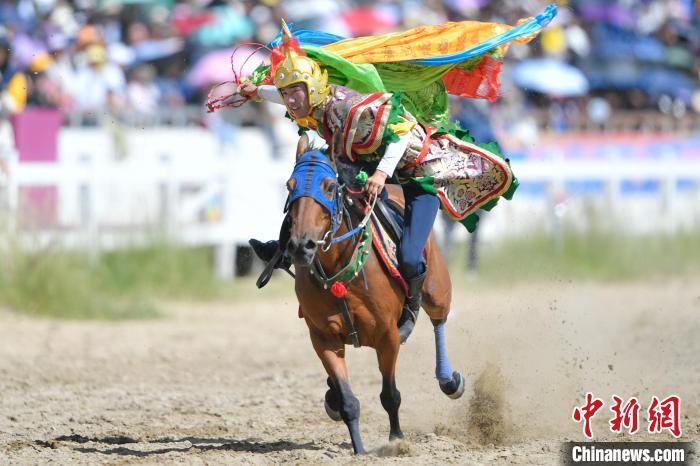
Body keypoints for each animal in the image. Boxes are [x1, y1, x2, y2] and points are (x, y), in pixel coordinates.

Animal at [284, 150, 464, 454]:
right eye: (289, 186)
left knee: (439, 319)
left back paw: (449, 380)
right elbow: (348, 400)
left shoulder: (387, 336)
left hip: (437, 288)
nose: (301, 245)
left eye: (329, 187)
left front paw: (397, 440)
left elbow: (390, 395)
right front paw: (359, 449)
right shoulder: (323, 338)